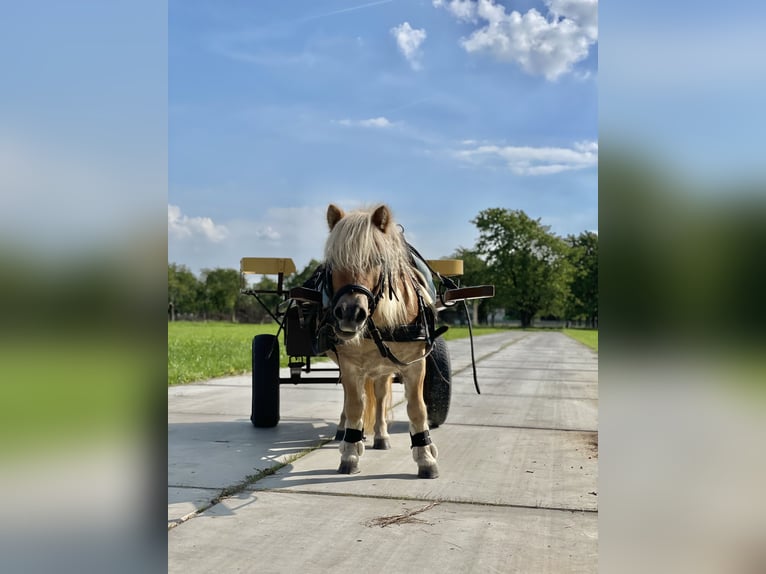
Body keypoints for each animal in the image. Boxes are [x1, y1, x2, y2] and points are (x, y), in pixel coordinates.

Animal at [320, 205, 440, 480]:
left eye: (376, 261)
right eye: (333, 263)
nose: (350, 313)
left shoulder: (415, 365)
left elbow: (417, 408)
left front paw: (426, 457)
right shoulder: (350, 366)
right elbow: (355, 406)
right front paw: (350, 452)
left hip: (383, 370)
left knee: (382, 394)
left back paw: (381, 435)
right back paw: (344, 431)